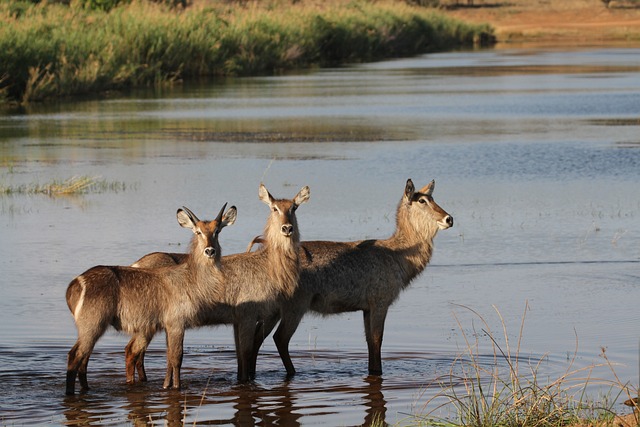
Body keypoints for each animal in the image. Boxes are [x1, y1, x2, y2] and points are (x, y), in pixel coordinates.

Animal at [65, 204, 236, 394]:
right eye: (198, 232)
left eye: (217, 231)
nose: (210, 251)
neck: (191, 277)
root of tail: (75, 283)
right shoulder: (177, 323)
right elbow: (177, 358)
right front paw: (176, 387)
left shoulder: (168, 326)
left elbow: (169, 357)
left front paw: (166, 385)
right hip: (93, 325)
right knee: (75, 356)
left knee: (85, 358)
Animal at [127, 182, 310, 382]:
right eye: (274, 208)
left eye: (294, 207)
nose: (287, 228)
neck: (268, 263)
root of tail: (136, 264)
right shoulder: (248, 316)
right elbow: (246, 352)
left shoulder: (238, 320)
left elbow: (240, 356)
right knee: (132, 352)